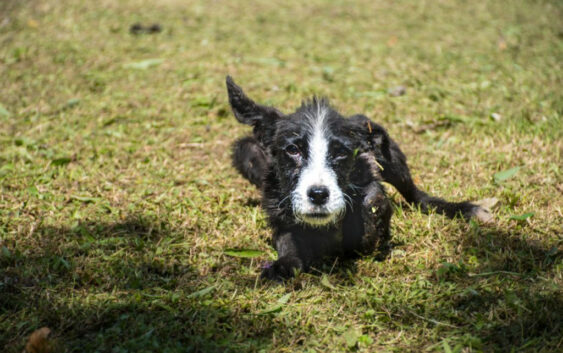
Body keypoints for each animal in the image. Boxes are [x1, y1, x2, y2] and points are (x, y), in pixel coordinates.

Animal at [226, 75, 490, 280]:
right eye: (293, 150)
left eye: (341, 152)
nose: (318, 195)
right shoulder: (279, 215)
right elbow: (287, 242)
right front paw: (284, 265)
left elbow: (368, 221)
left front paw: (370, 214)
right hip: (245, 150)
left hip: (391, 159)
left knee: (417, 197)